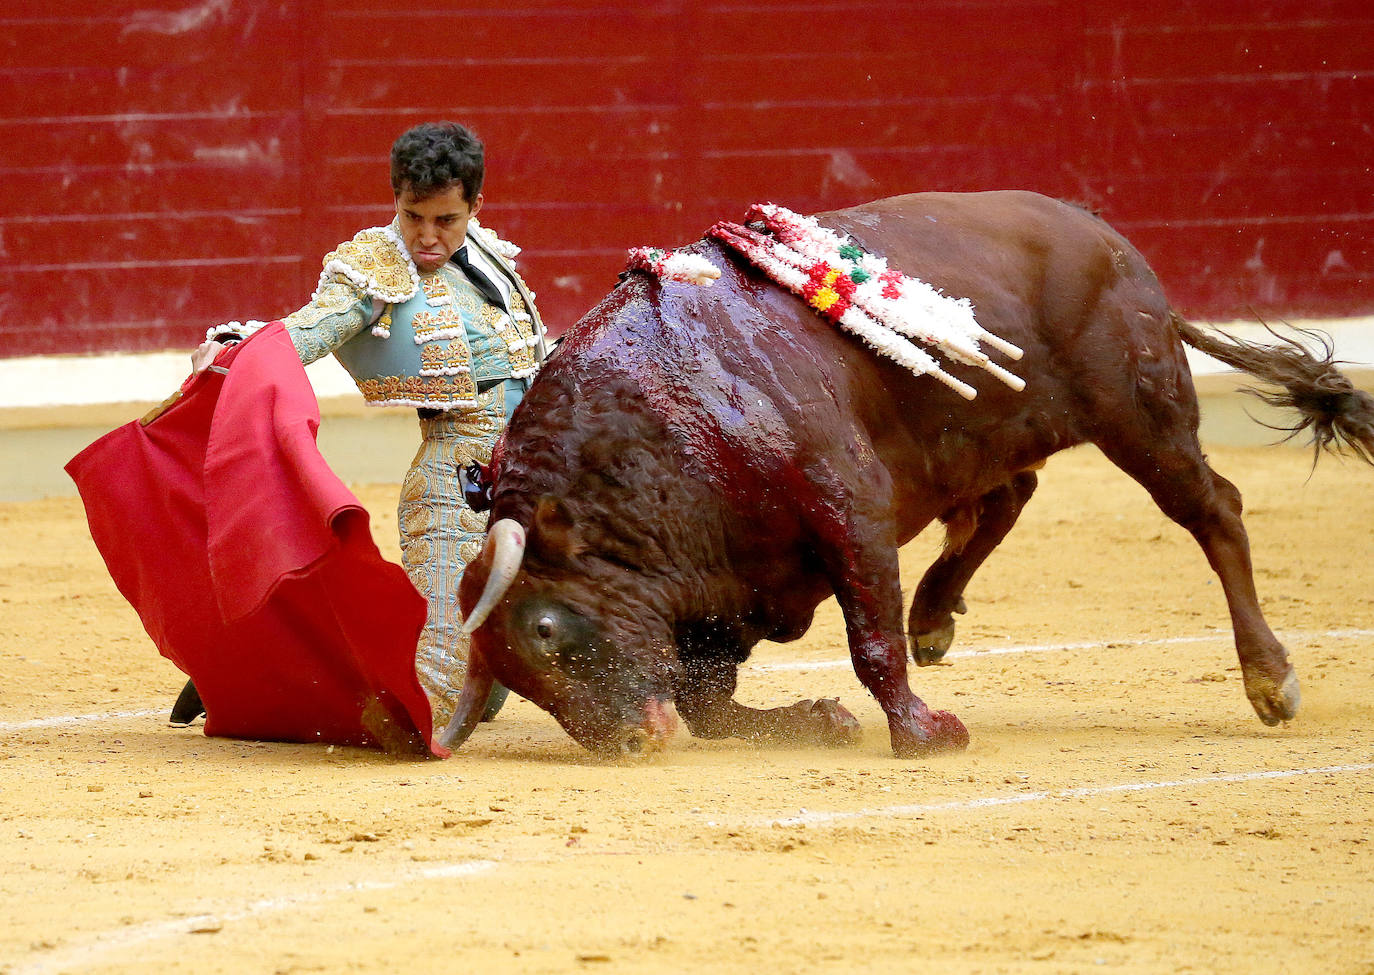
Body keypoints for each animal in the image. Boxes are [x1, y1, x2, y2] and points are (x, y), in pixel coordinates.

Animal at [439, 189, 1374, 758]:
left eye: (546, 630)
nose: (631, 743)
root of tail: (1108, 239)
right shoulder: (722, 584)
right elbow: (707, 694)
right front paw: (815, 721)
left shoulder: (851, 503)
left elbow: (871, 640)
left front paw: (923, 731)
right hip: (983, 434)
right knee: (1007, 496)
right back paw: (936, 613)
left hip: (1140, 413)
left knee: (1214, 510)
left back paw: (1270, 679)